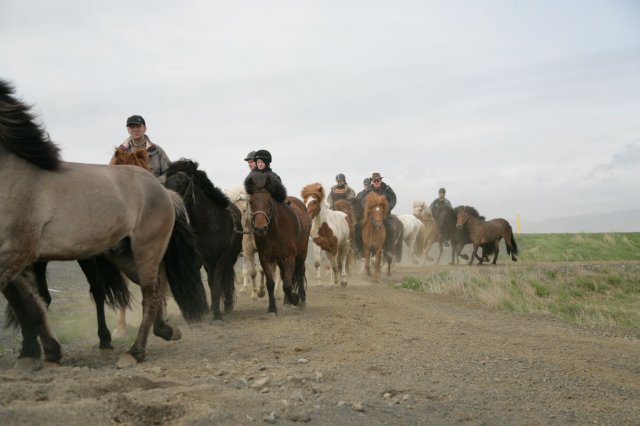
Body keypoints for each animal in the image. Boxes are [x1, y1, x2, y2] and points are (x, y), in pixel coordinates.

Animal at [0, 80, 206, 370]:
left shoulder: (16, 253)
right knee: (153, 288)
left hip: (146, 248)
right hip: (122, 255)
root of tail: (164, 192)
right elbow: (30, 302)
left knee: (149, 293)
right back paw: (163, 331)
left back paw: (134, 351)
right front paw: (43, 352)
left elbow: (28, 302)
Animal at [165, 159, 242, 320]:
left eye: (181, 182)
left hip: (230, 258)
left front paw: (217, 315)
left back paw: (228, 305)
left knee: (227, 275)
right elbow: (210, 283)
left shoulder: (220, 257)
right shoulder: (204, 258)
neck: (209, 224)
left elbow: (218, 283)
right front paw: (212, 309)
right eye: (167, 183)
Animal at [244, 171, 312, 314]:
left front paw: (295, 298)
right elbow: (271, 283)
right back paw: (287, 301)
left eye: (269, 201)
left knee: (300, 271)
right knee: (283, 274)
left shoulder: (289, 257)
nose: (260, 228)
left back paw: (302, 299)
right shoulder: (265, 258)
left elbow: (287, 284)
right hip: (280, 260)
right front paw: (272, 308)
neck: (274, 232)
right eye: (251, 202)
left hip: (302, 251)